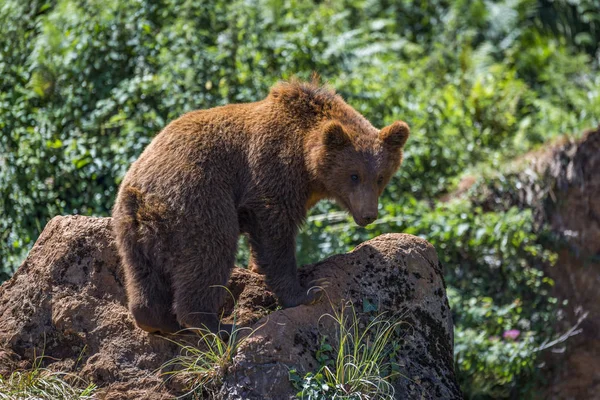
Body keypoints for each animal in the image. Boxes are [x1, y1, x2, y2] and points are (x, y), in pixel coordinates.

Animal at [112, 78, 410, 334]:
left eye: (381, 177)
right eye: (354, 175)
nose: (368, 215)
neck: (309, 167)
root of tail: (144, 193)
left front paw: (257, 268)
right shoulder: (273, 170)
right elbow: (275, 230)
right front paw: (307, 291)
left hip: (131, 228)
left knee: (142, 273)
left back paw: (156, 320)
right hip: (198, 200)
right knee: (210, 252)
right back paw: (215, 324)